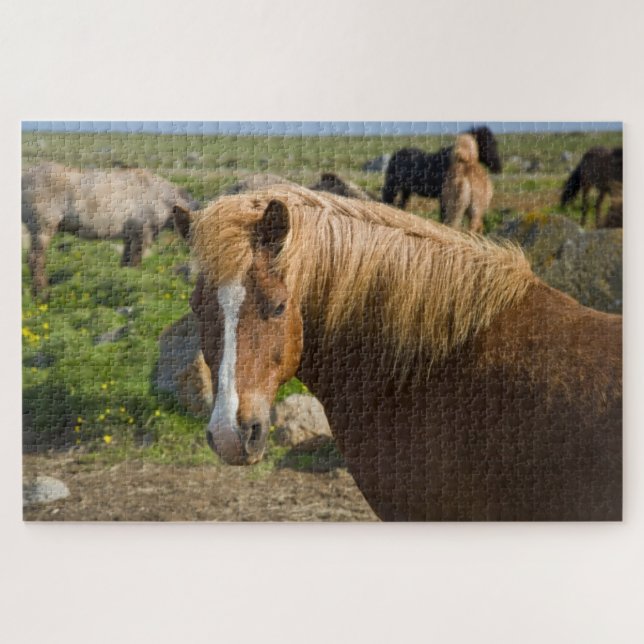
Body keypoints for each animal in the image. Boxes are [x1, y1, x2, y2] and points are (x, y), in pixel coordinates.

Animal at [22, 163, 192, 298]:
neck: (160, 196)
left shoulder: (129, 237)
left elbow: (126, 263)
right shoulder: (141, 235)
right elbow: (135, 264)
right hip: (42, 230)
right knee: (35, 260)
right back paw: (42, 293)